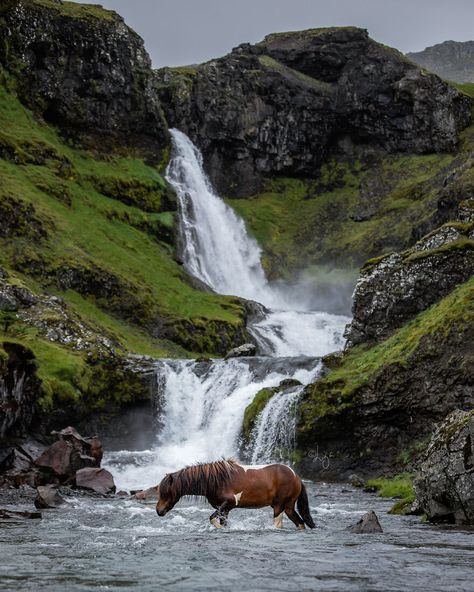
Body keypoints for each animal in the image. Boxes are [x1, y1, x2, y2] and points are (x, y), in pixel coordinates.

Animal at [157, 460, 316, 528]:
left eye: (166, 492)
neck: (217, 479)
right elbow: (222, 521)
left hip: (279, 507)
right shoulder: (225, 509)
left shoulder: (229, 503)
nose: (159, 510)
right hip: (288, 507)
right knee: (301, 523)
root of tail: (296, 477)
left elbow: (212, 519)